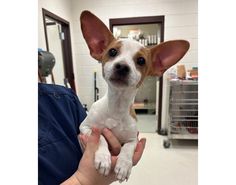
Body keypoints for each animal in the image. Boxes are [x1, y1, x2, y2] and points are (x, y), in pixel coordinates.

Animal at [79, 10, 190, 183]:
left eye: (141, 60)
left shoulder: (133, 139)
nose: (122, 66)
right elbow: (101, 138)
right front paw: (104, 158)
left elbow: (127, 149)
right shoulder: (86, 127)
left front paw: (124, 165)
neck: (117, 107)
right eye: (112, 52)